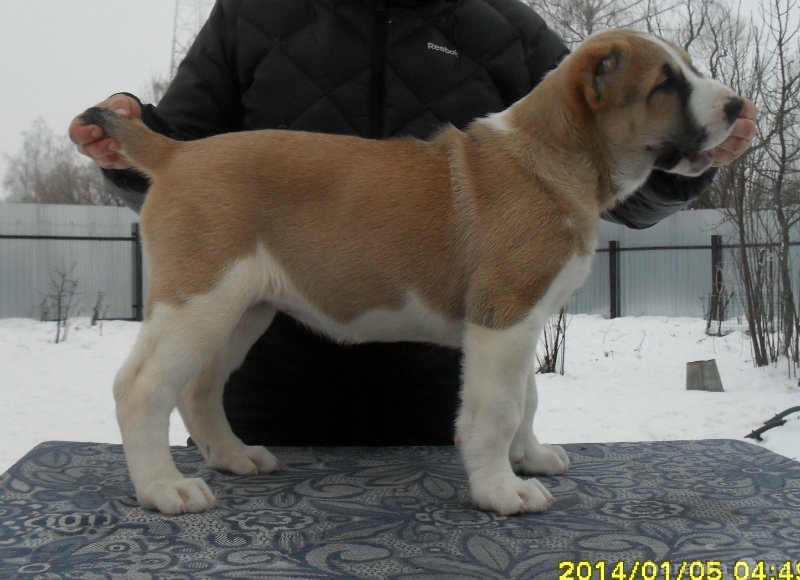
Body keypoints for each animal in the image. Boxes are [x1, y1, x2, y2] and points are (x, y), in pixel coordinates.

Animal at [79, 29, 744, 516]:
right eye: (664, 84)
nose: (739, 107)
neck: (554, 157)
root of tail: (178, 153)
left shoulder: (523, 319)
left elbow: (527, 397)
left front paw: (528, 457)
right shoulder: (503, 317)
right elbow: (498, 408)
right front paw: (502, 491)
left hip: (243, 309)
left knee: (198, 387)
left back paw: (234, 457)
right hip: (199, 298)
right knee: (141, 387)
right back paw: (164, 489)